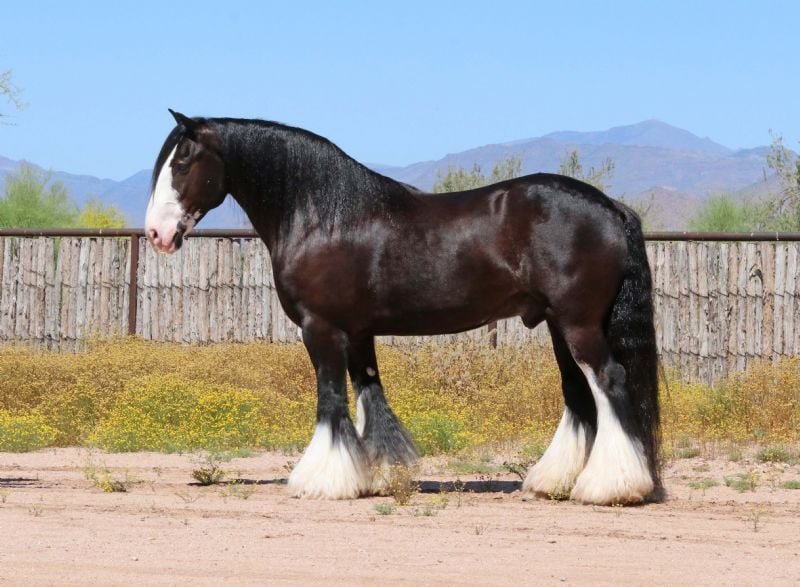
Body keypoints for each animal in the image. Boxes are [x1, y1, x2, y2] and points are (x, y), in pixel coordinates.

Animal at [145, 110, 661, 505]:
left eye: (183, 161)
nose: (157, 234)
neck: (325, 217)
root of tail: (610, 207)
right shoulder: (357, 332)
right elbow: (367, 397)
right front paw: (372, 477)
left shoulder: (321, 328)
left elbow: (331, 398)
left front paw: (322, 481)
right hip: (558, 324)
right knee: (579, 394)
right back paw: (554, 482)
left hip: (578, 324)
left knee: (609, 382)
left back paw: (609, 487)